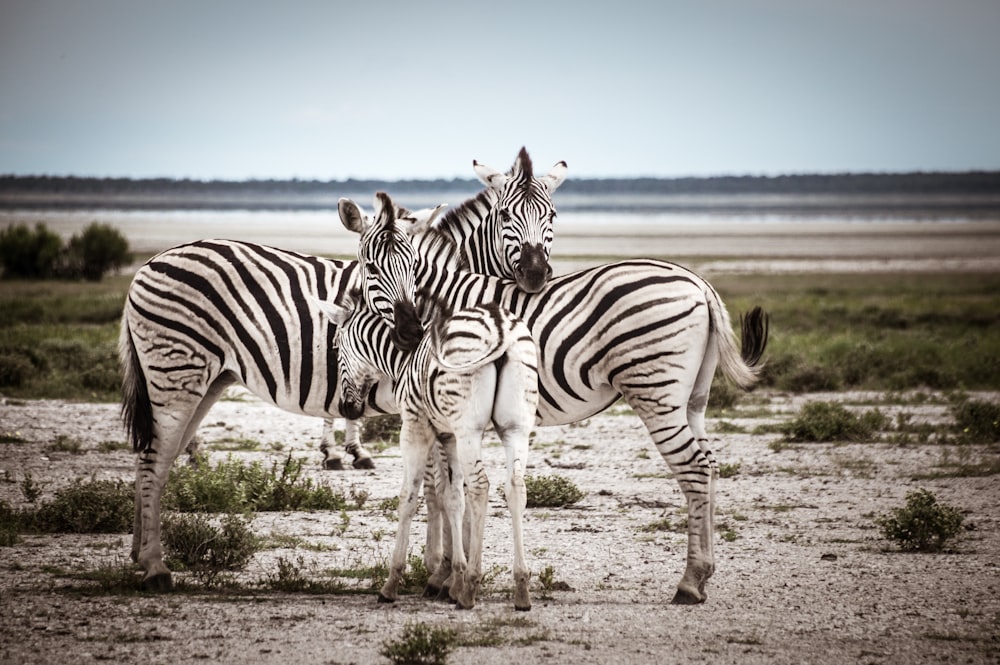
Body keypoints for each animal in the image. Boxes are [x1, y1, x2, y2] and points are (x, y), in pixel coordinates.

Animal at [316, 298, 544, 608]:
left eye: (336, 347)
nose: (347, 408)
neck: (403, 357)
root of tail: (502, 328)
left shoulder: (417, 428)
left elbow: (412, 497)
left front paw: (395, 583)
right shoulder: (447, 437)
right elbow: (451, 497)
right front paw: (450, 577)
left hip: (468, 428)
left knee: (481, 487)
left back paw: (471, 590)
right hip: (515, 427)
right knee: (515, 488)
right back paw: (521, 588)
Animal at [340, 191, 768, 600]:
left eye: (412, 266)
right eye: (371, 266)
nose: (410, 331)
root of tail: (699, 283)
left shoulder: (441, 412)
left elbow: (443, 492)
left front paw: (444, 577)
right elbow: (449, 491)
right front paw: (450, 576)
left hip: (654, 391)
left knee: (693, 469)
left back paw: (689, 582)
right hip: (693, 400)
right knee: (710, 466)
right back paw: (706, 573)